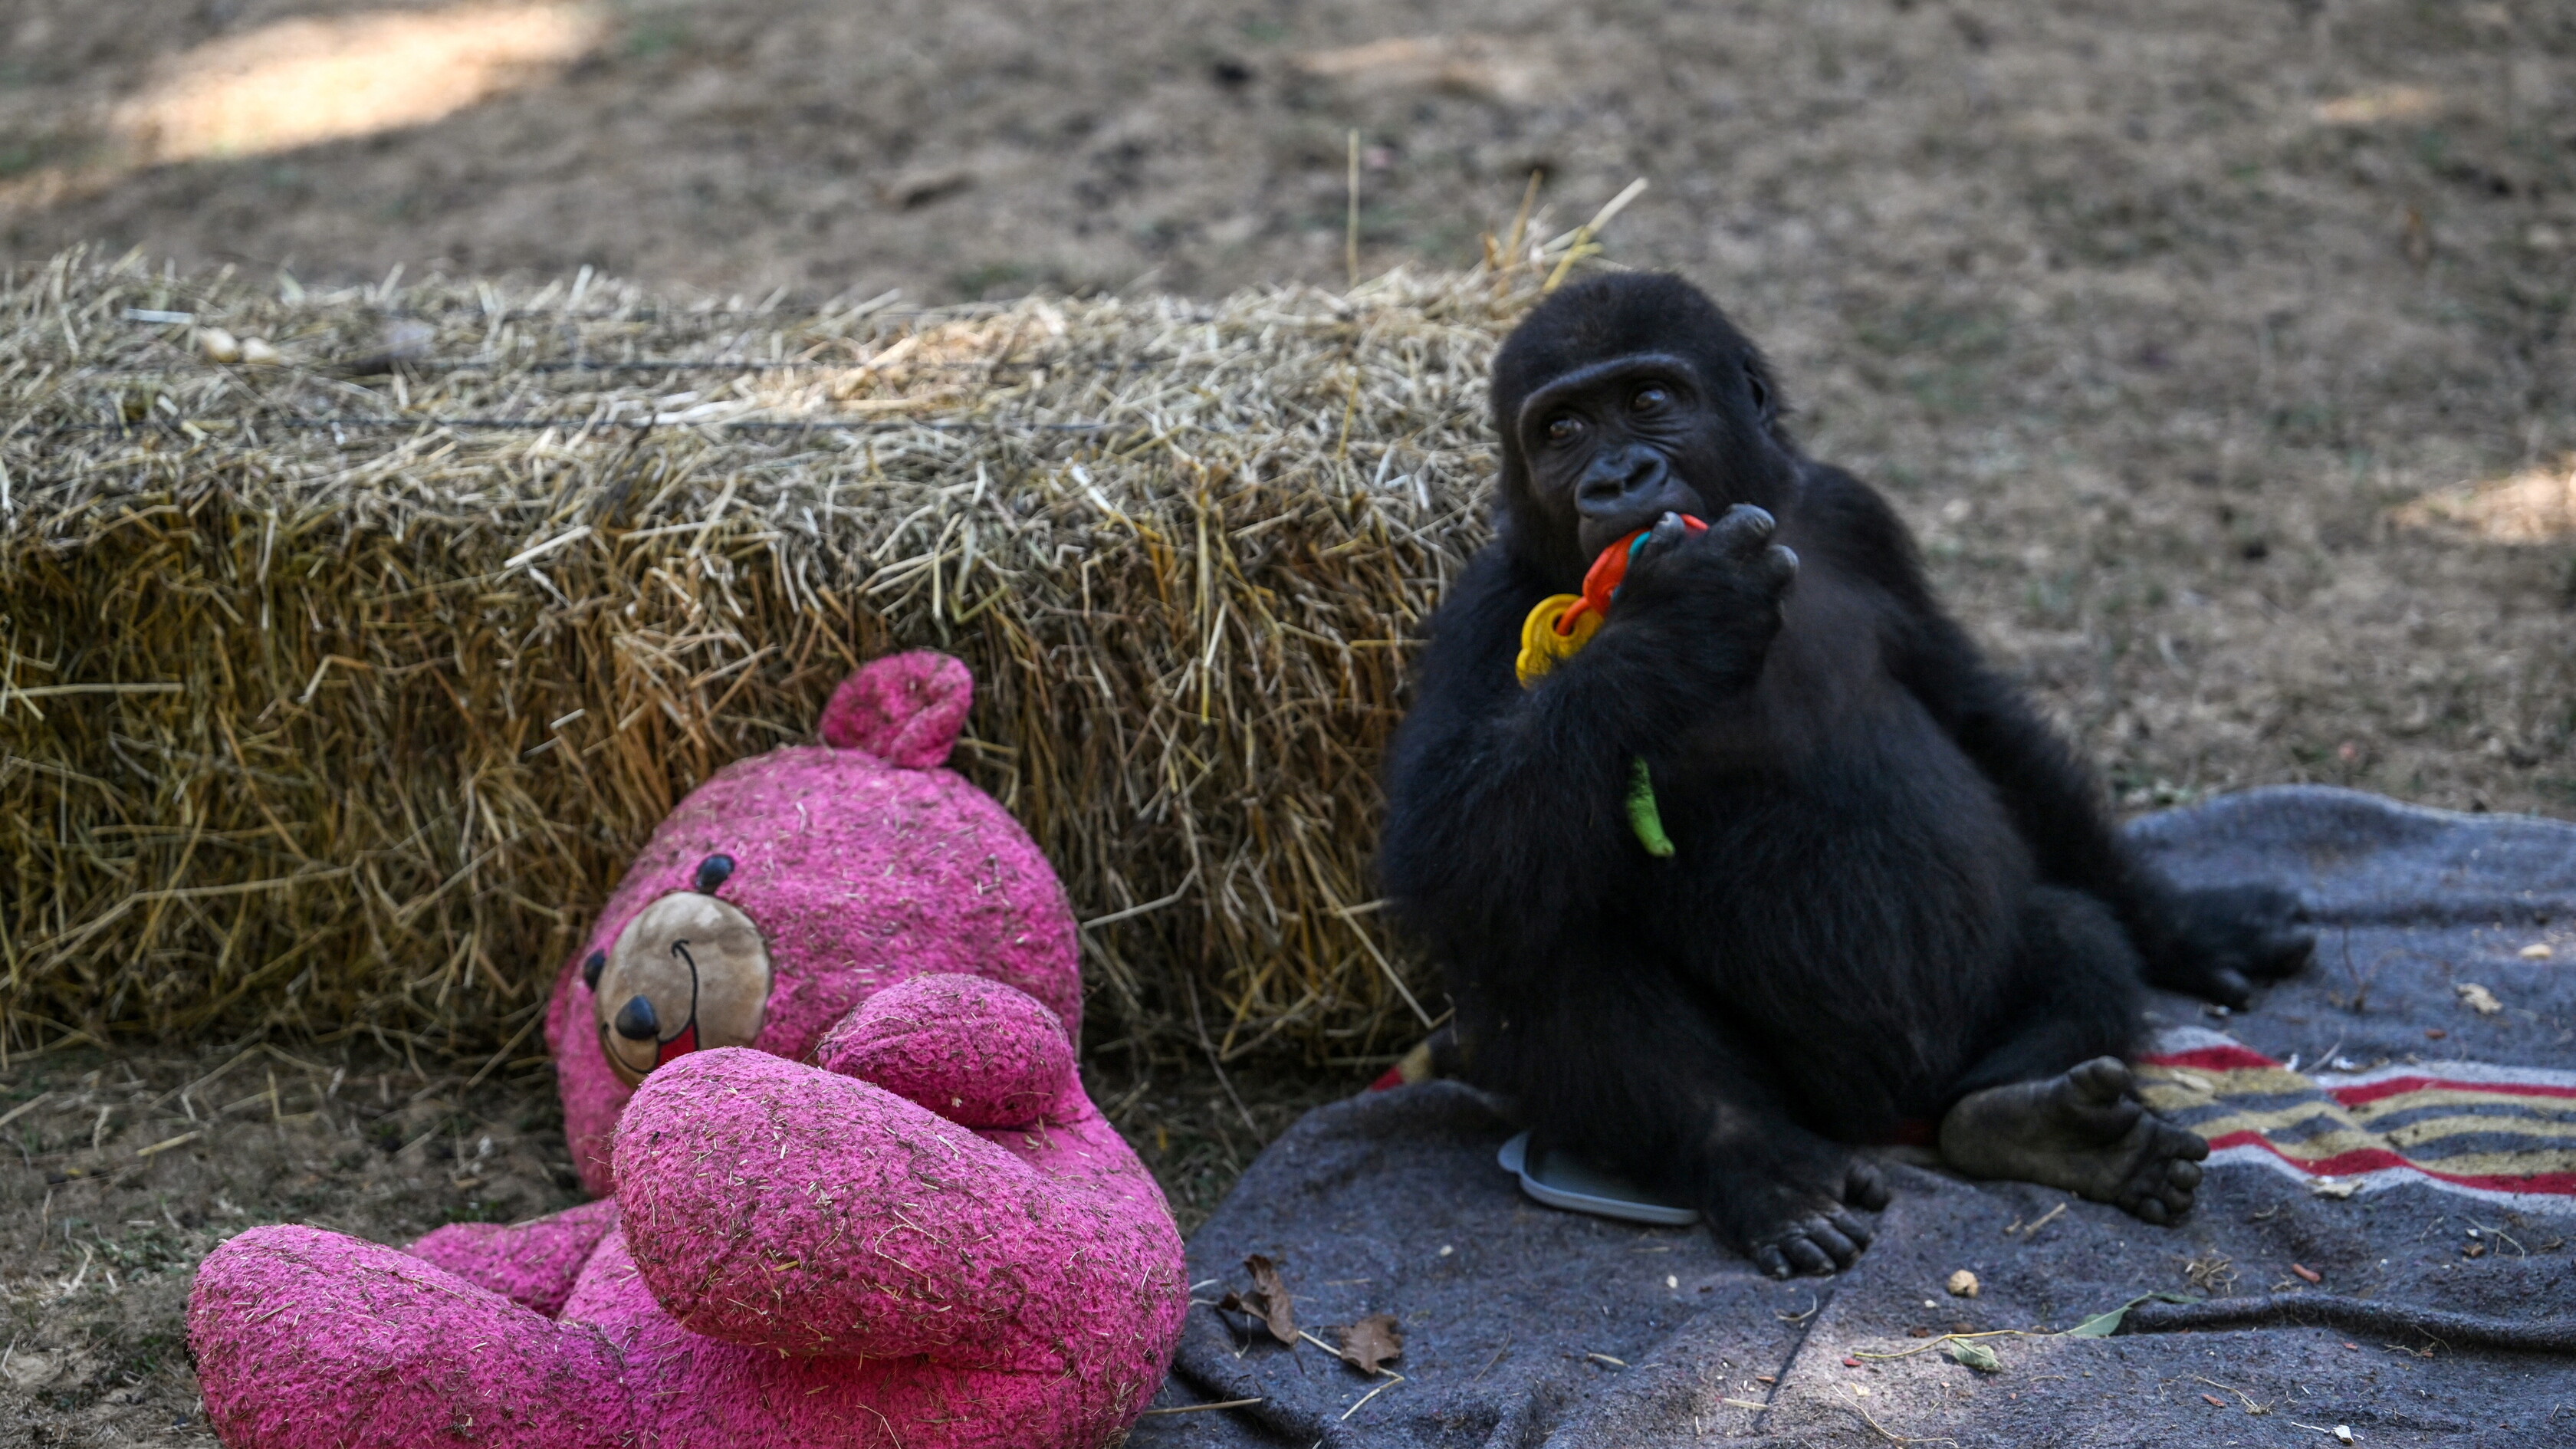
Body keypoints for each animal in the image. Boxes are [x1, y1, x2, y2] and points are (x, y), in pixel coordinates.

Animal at [1378, 273, 2312, 1276]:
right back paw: (1760, 1161)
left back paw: (2033, 1123)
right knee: (1533, 933)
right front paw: (1678, 622)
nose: (1619, 479)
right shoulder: (1483, 608)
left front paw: (2189, 923)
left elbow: (1975, 713)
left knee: (2072, 937)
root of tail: (1892, 1110)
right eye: (1560, 430)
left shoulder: (1856, 519)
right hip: (1810, 1099)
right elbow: (1439, 853)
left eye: (1648, 399)